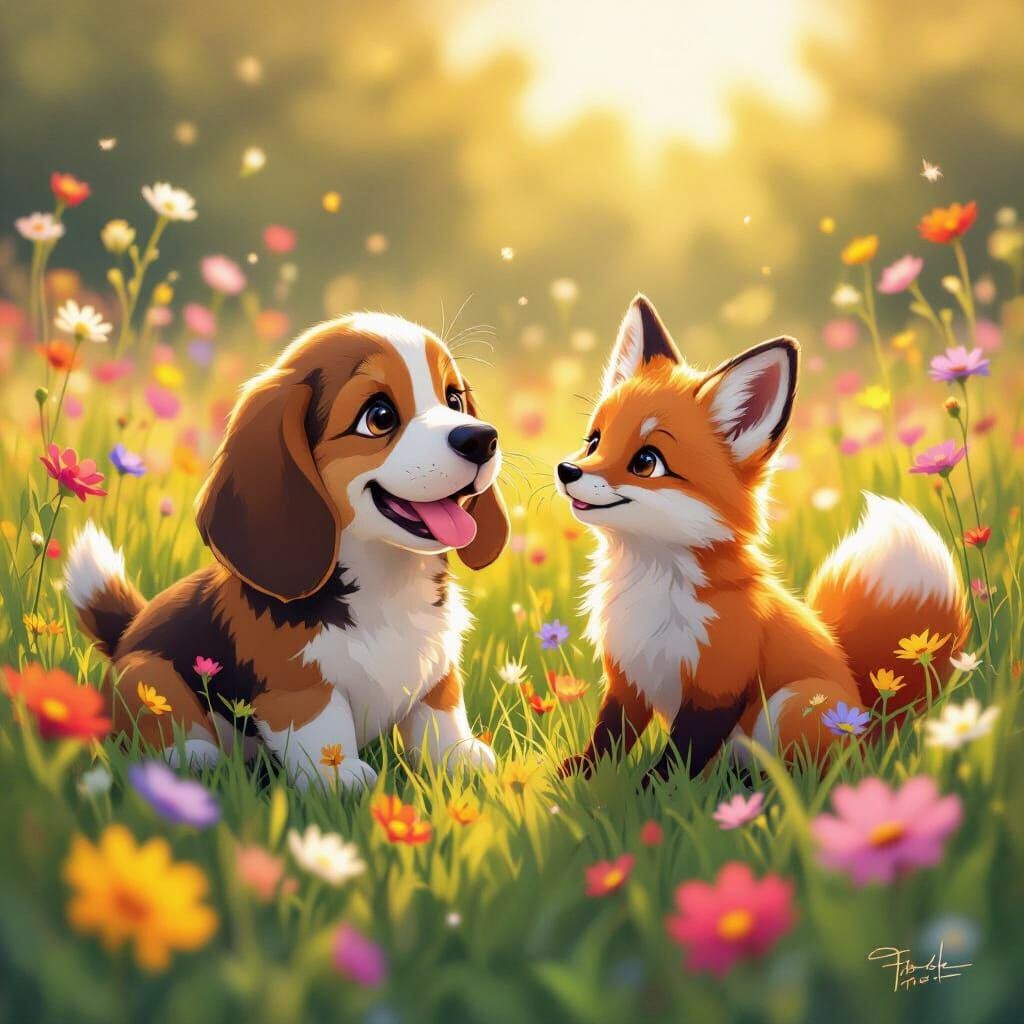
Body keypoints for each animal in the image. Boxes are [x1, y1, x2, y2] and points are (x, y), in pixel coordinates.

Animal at [554, 294, 970, 781]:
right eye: (594, 441)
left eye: (646, 462)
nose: (567, 470)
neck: (651, 582)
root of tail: (870, 720)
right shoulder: (628, 677)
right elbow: (608, 738)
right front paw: (580, 780)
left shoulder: (719, 685)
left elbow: (679, 757)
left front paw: (649, 792)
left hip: (796, 704)